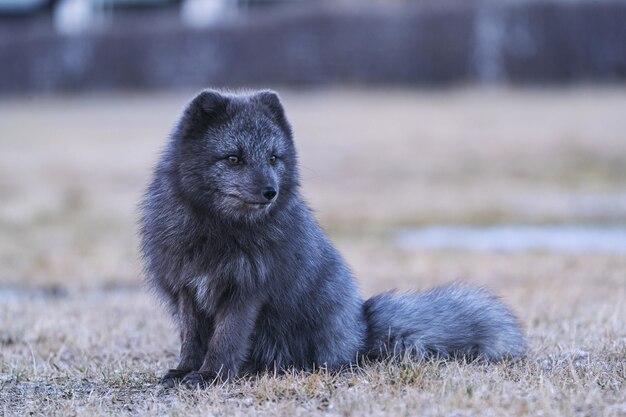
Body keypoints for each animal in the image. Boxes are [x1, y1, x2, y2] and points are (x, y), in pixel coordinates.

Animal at [139, 88, 524, 386]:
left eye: (274, 157)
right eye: (233, 158)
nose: (270, 192)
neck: (219, 231)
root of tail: (361, 329)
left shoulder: (245, 291)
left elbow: (225, 340)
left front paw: (210, 376)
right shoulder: (187, 287)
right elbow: (192, 339)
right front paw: (185, 371)